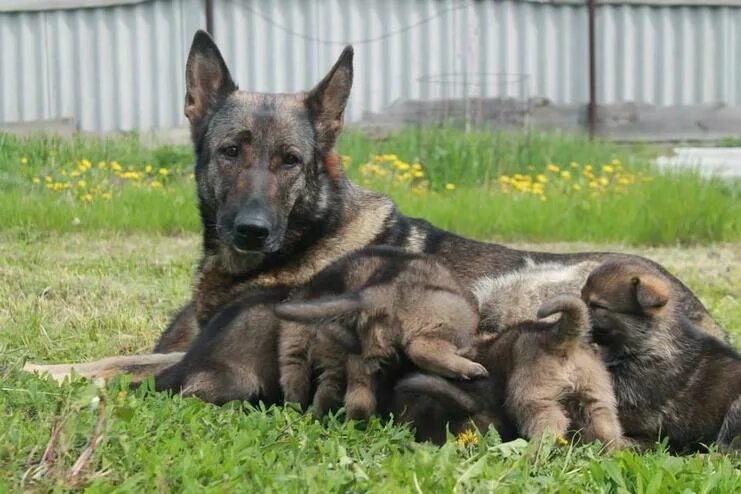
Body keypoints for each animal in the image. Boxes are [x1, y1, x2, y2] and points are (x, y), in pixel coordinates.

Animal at [272, 245, 486, 418]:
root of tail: (374, 294)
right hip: (455, 316)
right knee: (422, 348)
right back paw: (470, 367)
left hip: (329, 352)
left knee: (346, 394)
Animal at [394, 296, 624, 450]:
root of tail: (558, 335)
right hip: (597, 397)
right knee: (608, 429)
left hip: (529, 396)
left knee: (551, 426)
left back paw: (531, 456)